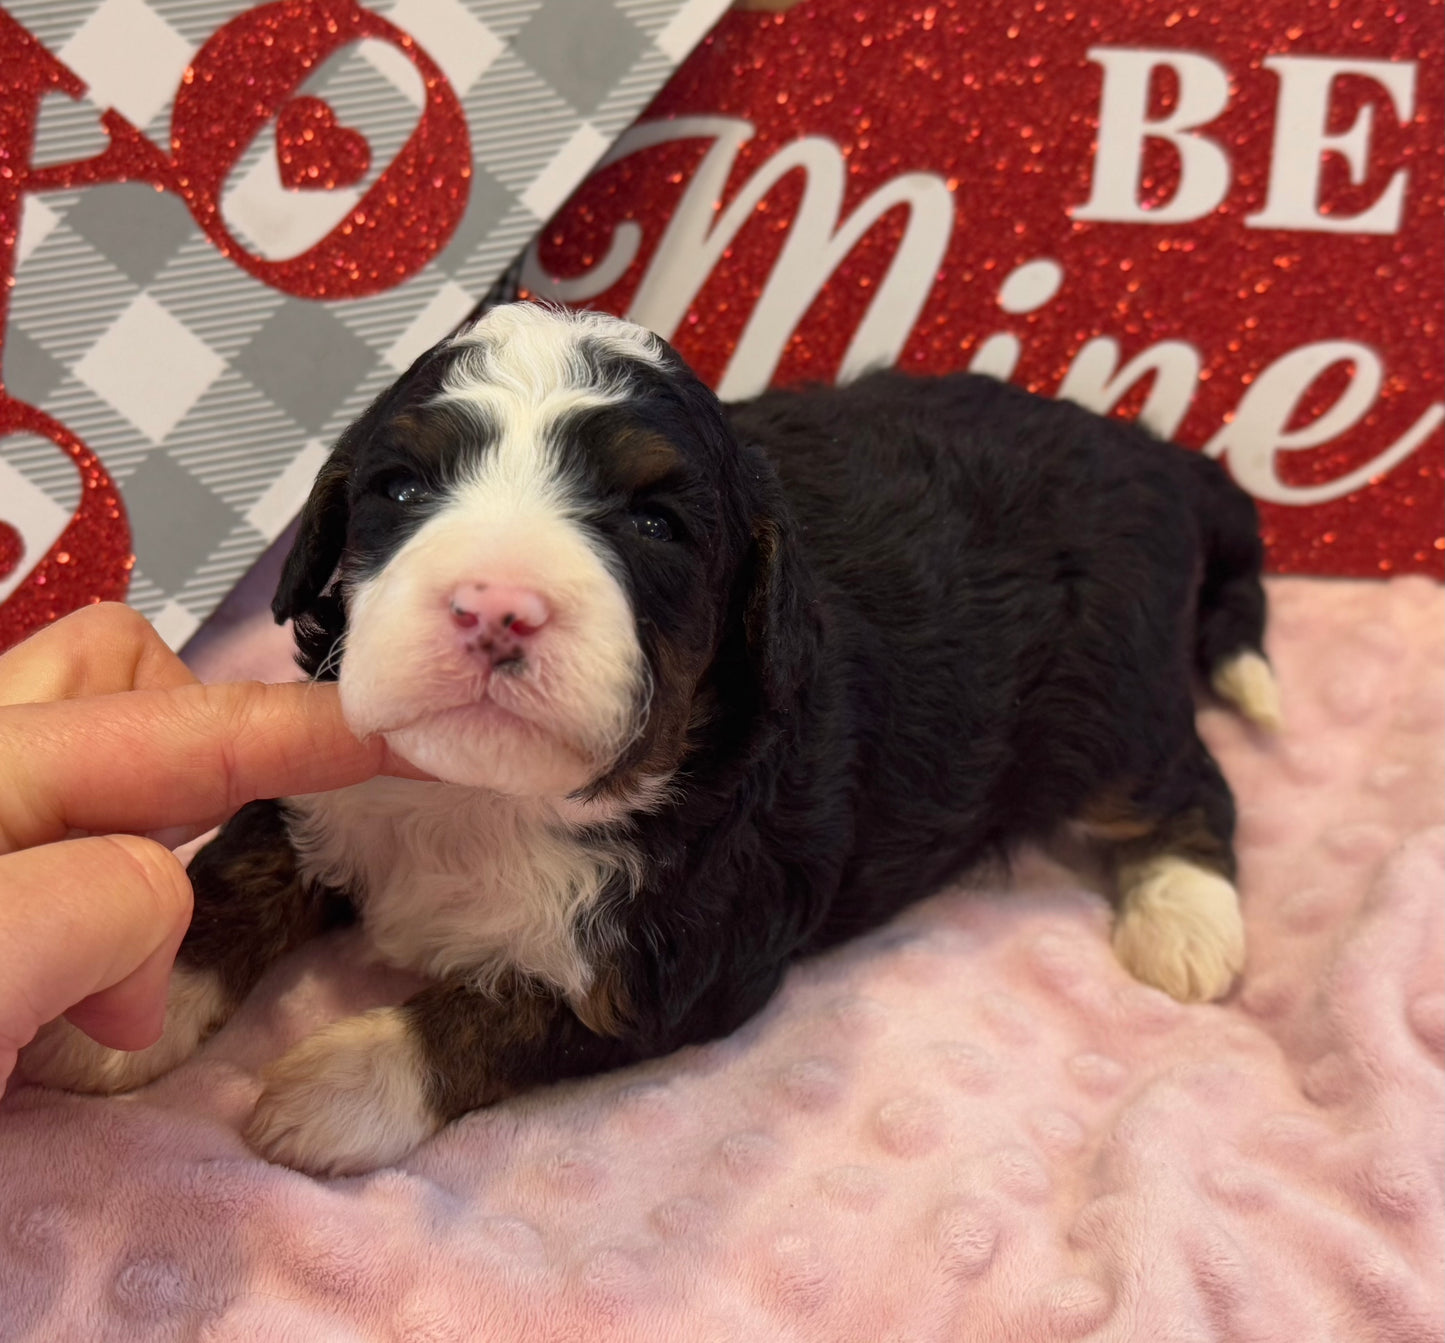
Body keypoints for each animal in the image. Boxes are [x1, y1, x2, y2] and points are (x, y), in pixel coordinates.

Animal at [22, 299, 1277, 1168]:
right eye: (399, 488)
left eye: (655, 520)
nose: (494, 605)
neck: (492, 798)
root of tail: (1158, 454)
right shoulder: (323, 782)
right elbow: (234, 875)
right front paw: (117, 1018)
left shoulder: (687, 953)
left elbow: (508, 1010)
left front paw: (332, 1090)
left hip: (1106, 705)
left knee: (1189, 782)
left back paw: (1185, 922)